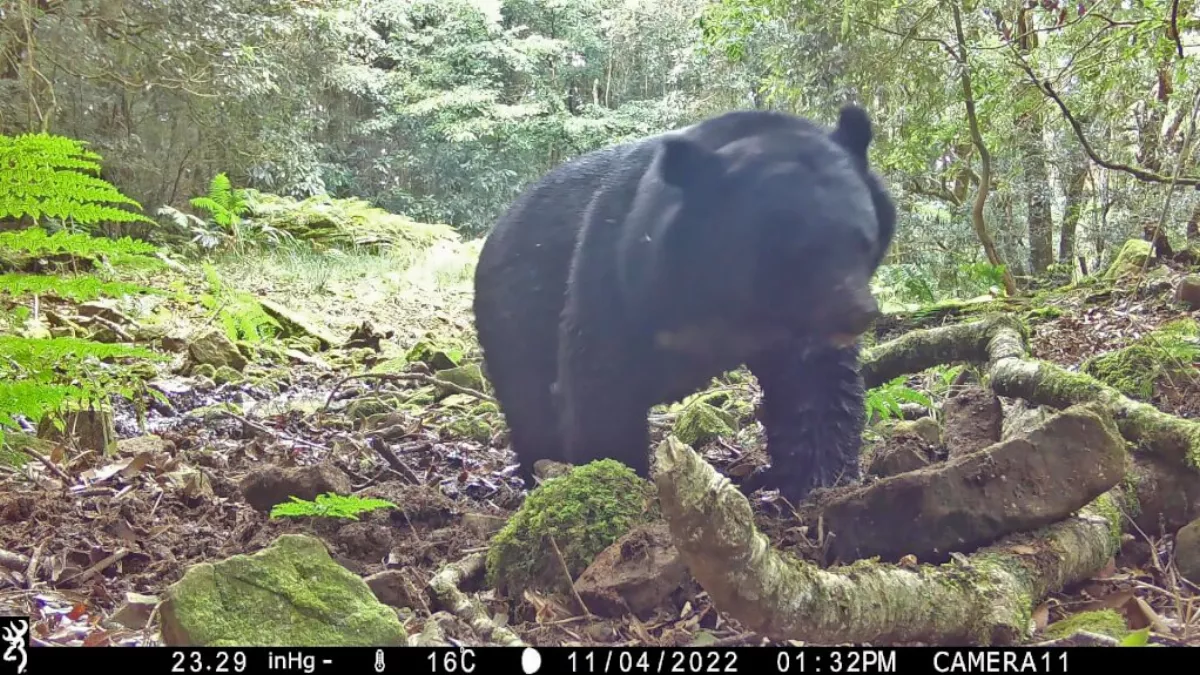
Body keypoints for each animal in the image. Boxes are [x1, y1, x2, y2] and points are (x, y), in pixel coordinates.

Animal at [471, 105, 896, 504]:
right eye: (795, 254)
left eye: (863, 240)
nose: (857, 314)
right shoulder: (619, 275)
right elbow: (601, 383)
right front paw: (616, 480)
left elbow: (819, 388)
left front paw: (821, 484)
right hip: (515, 318)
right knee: (531, 404)